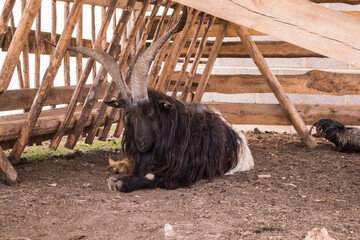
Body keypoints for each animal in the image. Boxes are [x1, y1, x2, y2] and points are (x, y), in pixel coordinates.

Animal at [53, 6, 255, 192]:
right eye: (129, 115)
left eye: (150, 110)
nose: (142, 143)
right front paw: (119, 170)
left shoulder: (182, 171)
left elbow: (152, 176)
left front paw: (120, 182)